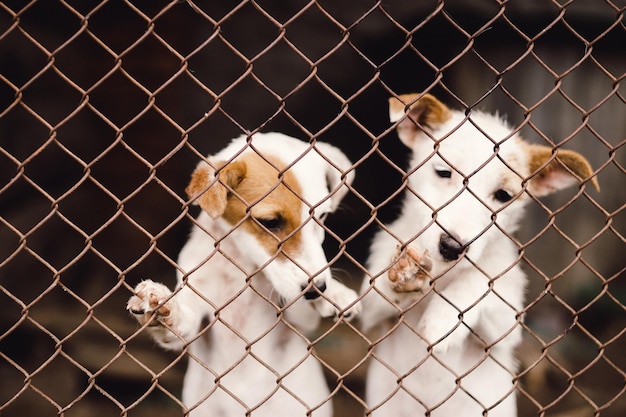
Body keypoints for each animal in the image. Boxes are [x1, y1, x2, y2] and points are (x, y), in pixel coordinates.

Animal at [127, 132, 360, 416]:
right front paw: (162, 307)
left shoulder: (300, 319)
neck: (243, 267)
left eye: (322, 216)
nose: (318, 289)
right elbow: (180, 320)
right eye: (270, 222)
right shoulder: (196, 307)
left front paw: (335, 294)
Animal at [358, 92, 596, 416]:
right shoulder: (369, 311)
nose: (452, 247)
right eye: (443, 172)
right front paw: (404, 272)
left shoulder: (508, 322)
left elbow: (479, 280)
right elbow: (379, 292)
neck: (444, 272)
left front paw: (444, 319)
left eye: (503, 196)